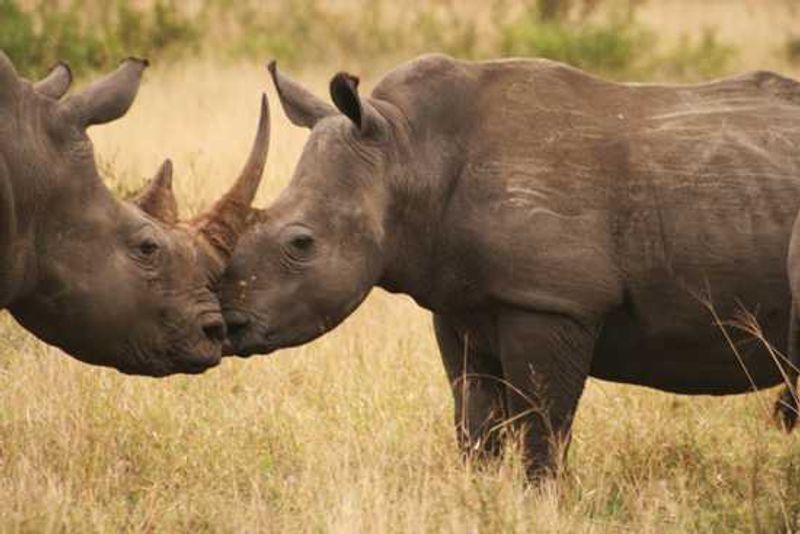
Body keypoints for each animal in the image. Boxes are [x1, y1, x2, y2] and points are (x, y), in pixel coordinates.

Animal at [220, 54, 800, 478]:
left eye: (301, 243)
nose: (228, 323)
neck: (411, 153)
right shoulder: (459, 306)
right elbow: (475, 419)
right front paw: (480, 491)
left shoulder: (551, 301)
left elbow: (541, 424)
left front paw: (538, 501)